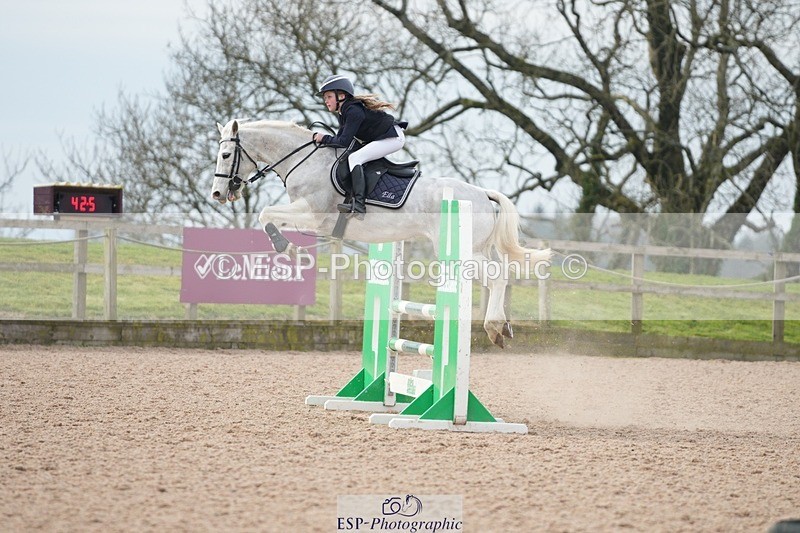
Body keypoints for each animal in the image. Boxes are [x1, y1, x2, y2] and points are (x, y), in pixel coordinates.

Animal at [211, 119, 550, 347]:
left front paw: (288, 248)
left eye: (226, 155)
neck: (304, 160)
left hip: (465, 251)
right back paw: (504, 326)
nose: (217, 194)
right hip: (474, 249)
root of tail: (482, 193)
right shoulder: (306, 216)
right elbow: (270, 218)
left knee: (497, 277)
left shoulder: (313, 213)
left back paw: (493, 327)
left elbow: (266, 213)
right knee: (497, 277)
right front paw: (288, 247)